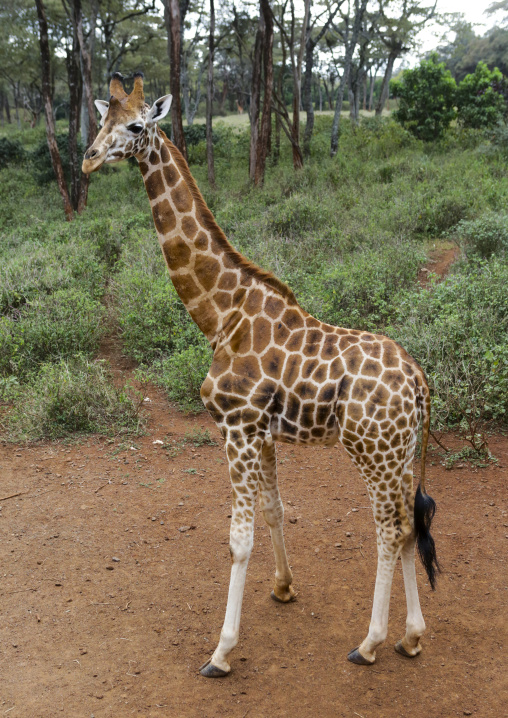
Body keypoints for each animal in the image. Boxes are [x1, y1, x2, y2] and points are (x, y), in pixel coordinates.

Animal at [83, 73, 439, 677]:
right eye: (100, 121)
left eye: (133, 126)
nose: (87, 160)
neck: (218, 315)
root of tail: (419, 383)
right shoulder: (263, 433)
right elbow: (274, 511)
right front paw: (284, 587)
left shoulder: (237, 428)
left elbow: (238, 539)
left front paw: (221, 651)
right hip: (400, 454)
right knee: (409, 524)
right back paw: (411, 638)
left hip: (372, 451)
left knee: (389, 529)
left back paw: (369, 642)